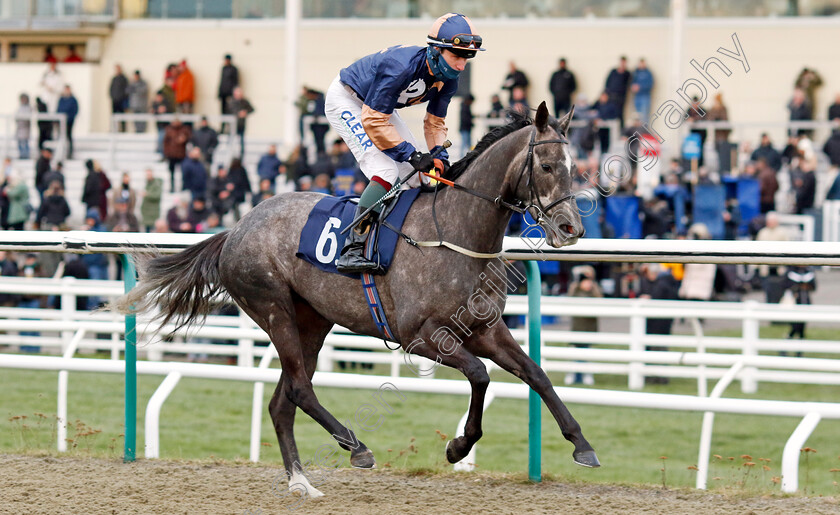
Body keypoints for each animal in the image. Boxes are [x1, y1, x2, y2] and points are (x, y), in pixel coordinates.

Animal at [115, 102, 596, 500]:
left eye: (575, 167)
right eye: (548, 165)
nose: (571, 228)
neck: (455, 233)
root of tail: (236, 228)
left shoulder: (485, 328)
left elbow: (536, 374)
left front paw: (582, 444)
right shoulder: (421, 336)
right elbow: (480, 375)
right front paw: (458, 446)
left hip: (312, 321)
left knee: (282, 401)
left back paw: (300, 481)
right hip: (273, 309)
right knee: (300, 388)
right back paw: (356, 447)